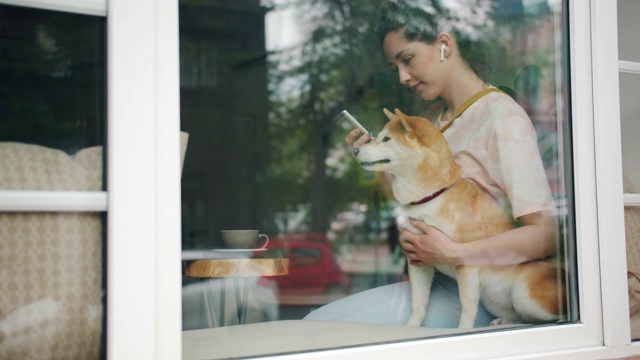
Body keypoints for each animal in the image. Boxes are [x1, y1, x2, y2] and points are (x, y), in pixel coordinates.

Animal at [356, 108, 564, 328]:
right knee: (525, 318)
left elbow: (467, 305)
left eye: (386, 139)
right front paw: (411, 327)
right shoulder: (418, 262)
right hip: (495, 300)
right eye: (377, 137)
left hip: (524, 294)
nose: (356, 150)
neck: (431, 197)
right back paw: (505, 321)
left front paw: (463, 329)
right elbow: (418, 304)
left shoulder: (465, 264)